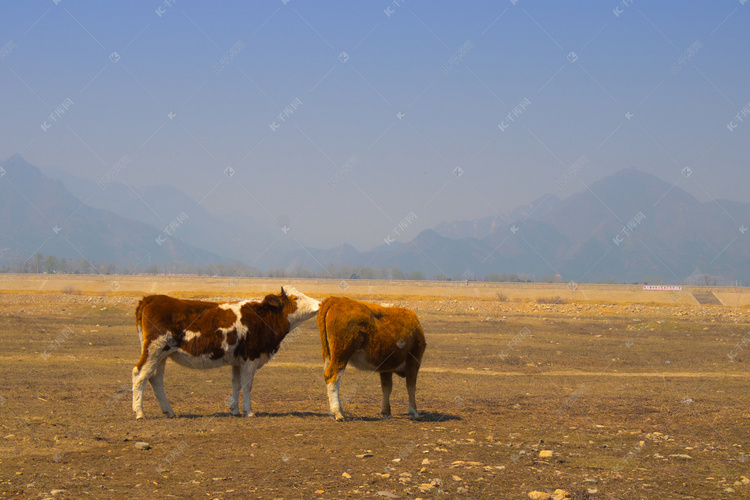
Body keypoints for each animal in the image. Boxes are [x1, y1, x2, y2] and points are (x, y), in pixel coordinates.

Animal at [132, 288, 320, 420]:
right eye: (296, 297)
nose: (319, 304)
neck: (263, 317)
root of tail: (150, 299)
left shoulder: (238, 361)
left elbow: (236, 384)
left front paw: (234, 410)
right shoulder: (251, 359)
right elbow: (247, 385)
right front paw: (249, 411)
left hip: (161, 356)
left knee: (155, 379)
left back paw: (168, 411)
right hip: (154, 350)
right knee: (140, 375)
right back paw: (139, 412)